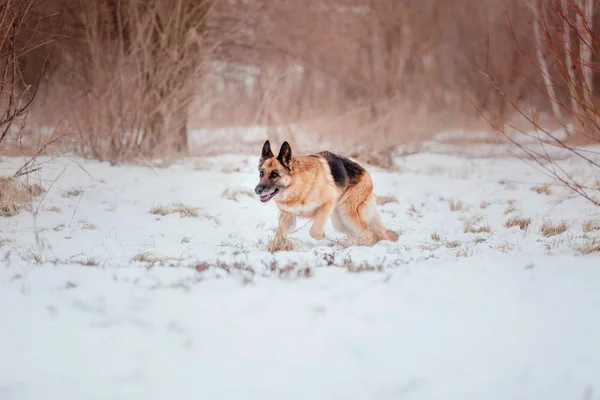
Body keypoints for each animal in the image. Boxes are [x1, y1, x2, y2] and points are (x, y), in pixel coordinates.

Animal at [254, 141, 398, 247]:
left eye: (274, 174)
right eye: (261, 173)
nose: (257, 190)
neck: (298, 186)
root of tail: (365, 172)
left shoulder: (326, 205)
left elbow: (314, 231)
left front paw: (322, 236)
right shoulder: (287, 217)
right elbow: (278, 236)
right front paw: (273, 249)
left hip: (347, 215)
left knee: (368, 235)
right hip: (340, 223)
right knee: (363, 234)